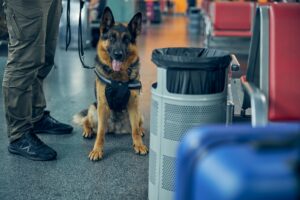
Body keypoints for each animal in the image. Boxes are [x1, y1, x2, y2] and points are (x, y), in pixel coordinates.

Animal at [72, 7, 148, 161]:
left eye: (126, 39)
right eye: (111, 38)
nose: (118, 54)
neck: (118, 79)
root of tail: (116, 129)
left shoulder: (133, 104)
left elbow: (135, 130)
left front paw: (139, 145)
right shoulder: (102, 106)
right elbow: (100, 132)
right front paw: (97, 150)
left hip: (139, 113)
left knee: (137, 126)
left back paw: (142, 130)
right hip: (93, 109)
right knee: (86, 121)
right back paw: (88, 131)